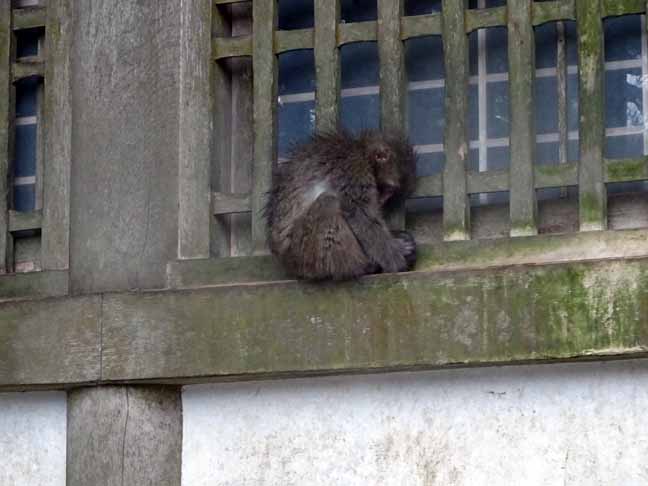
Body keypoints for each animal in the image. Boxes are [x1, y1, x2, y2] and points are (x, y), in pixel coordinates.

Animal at [265, 130, 417, 281]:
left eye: (389, 193)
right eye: (388, 190)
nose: (380, 202)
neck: (361, 152)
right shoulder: (354, 170)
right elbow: (360, 215)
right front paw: (396, 257)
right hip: (302, 254)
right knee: (328, 202)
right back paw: (363, 266)